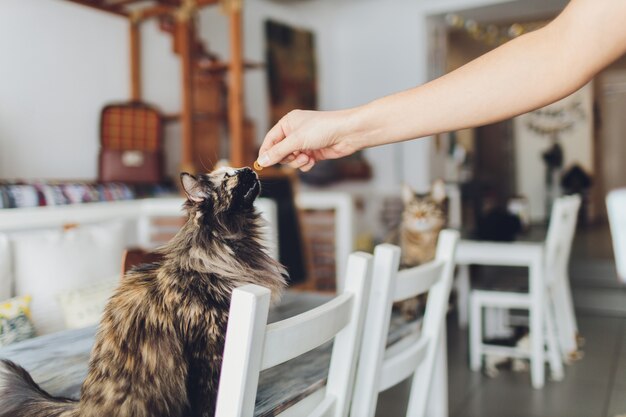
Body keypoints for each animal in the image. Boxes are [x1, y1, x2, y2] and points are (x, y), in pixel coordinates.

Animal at [0, 166, 286, 416]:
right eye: (228, 176)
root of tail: (82, 406)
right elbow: (208, 396)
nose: (249, 168)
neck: (226, 248)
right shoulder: (206, 346)